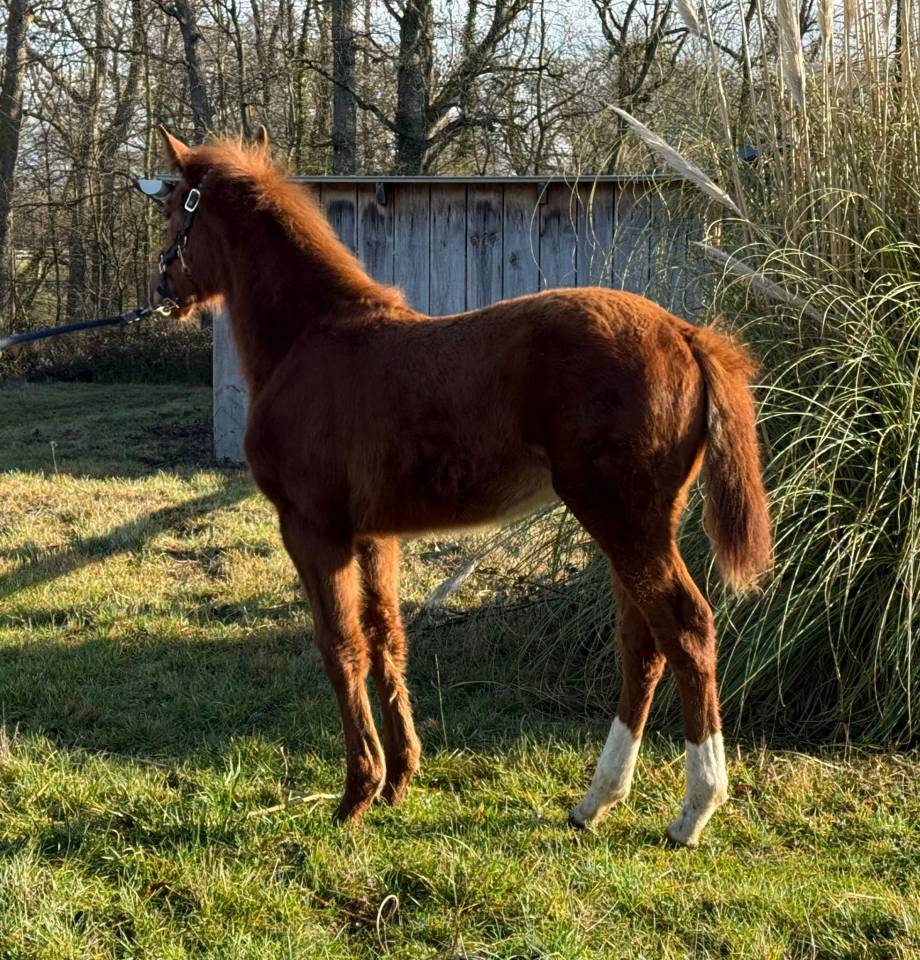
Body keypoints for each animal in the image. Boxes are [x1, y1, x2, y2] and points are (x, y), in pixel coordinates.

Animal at [150, 126, 771, 847]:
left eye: (177, 210)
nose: (164, 284)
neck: (310, 339)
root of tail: (685, 333)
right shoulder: (374, 535)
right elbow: (386, 637)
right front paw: (398, 780)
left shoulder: (312, 528)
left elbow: (341, 647)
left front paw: (355, 795)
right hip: (637, 525)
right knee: (642, 643)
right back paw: (596, 801)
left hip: (624, 519)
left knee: (687, 629)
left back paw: (694, 808)